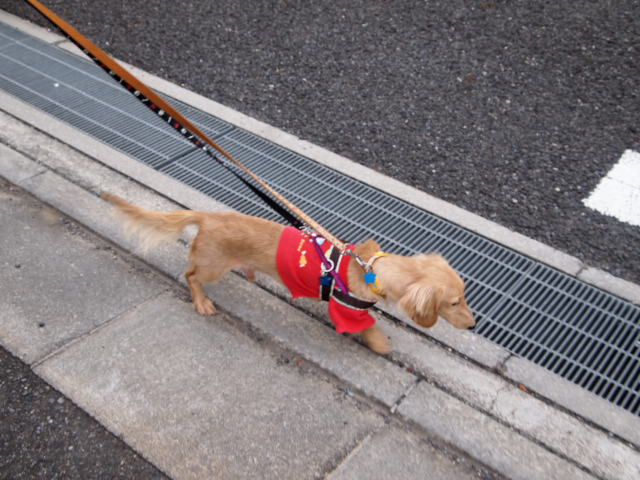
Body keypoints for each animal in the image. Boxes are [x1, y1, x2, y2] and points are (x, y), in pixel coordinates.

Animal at [104, 193, 476, 354]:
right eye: (454, 302)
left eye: (465, 295)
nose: (474, 325)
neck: (370, 268)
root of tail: (209, 216)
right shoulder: (346, 309)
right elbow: (368, 328)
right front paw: (381, 344)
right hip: (212, 267)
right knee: (191, 274)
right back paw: (202, 302)